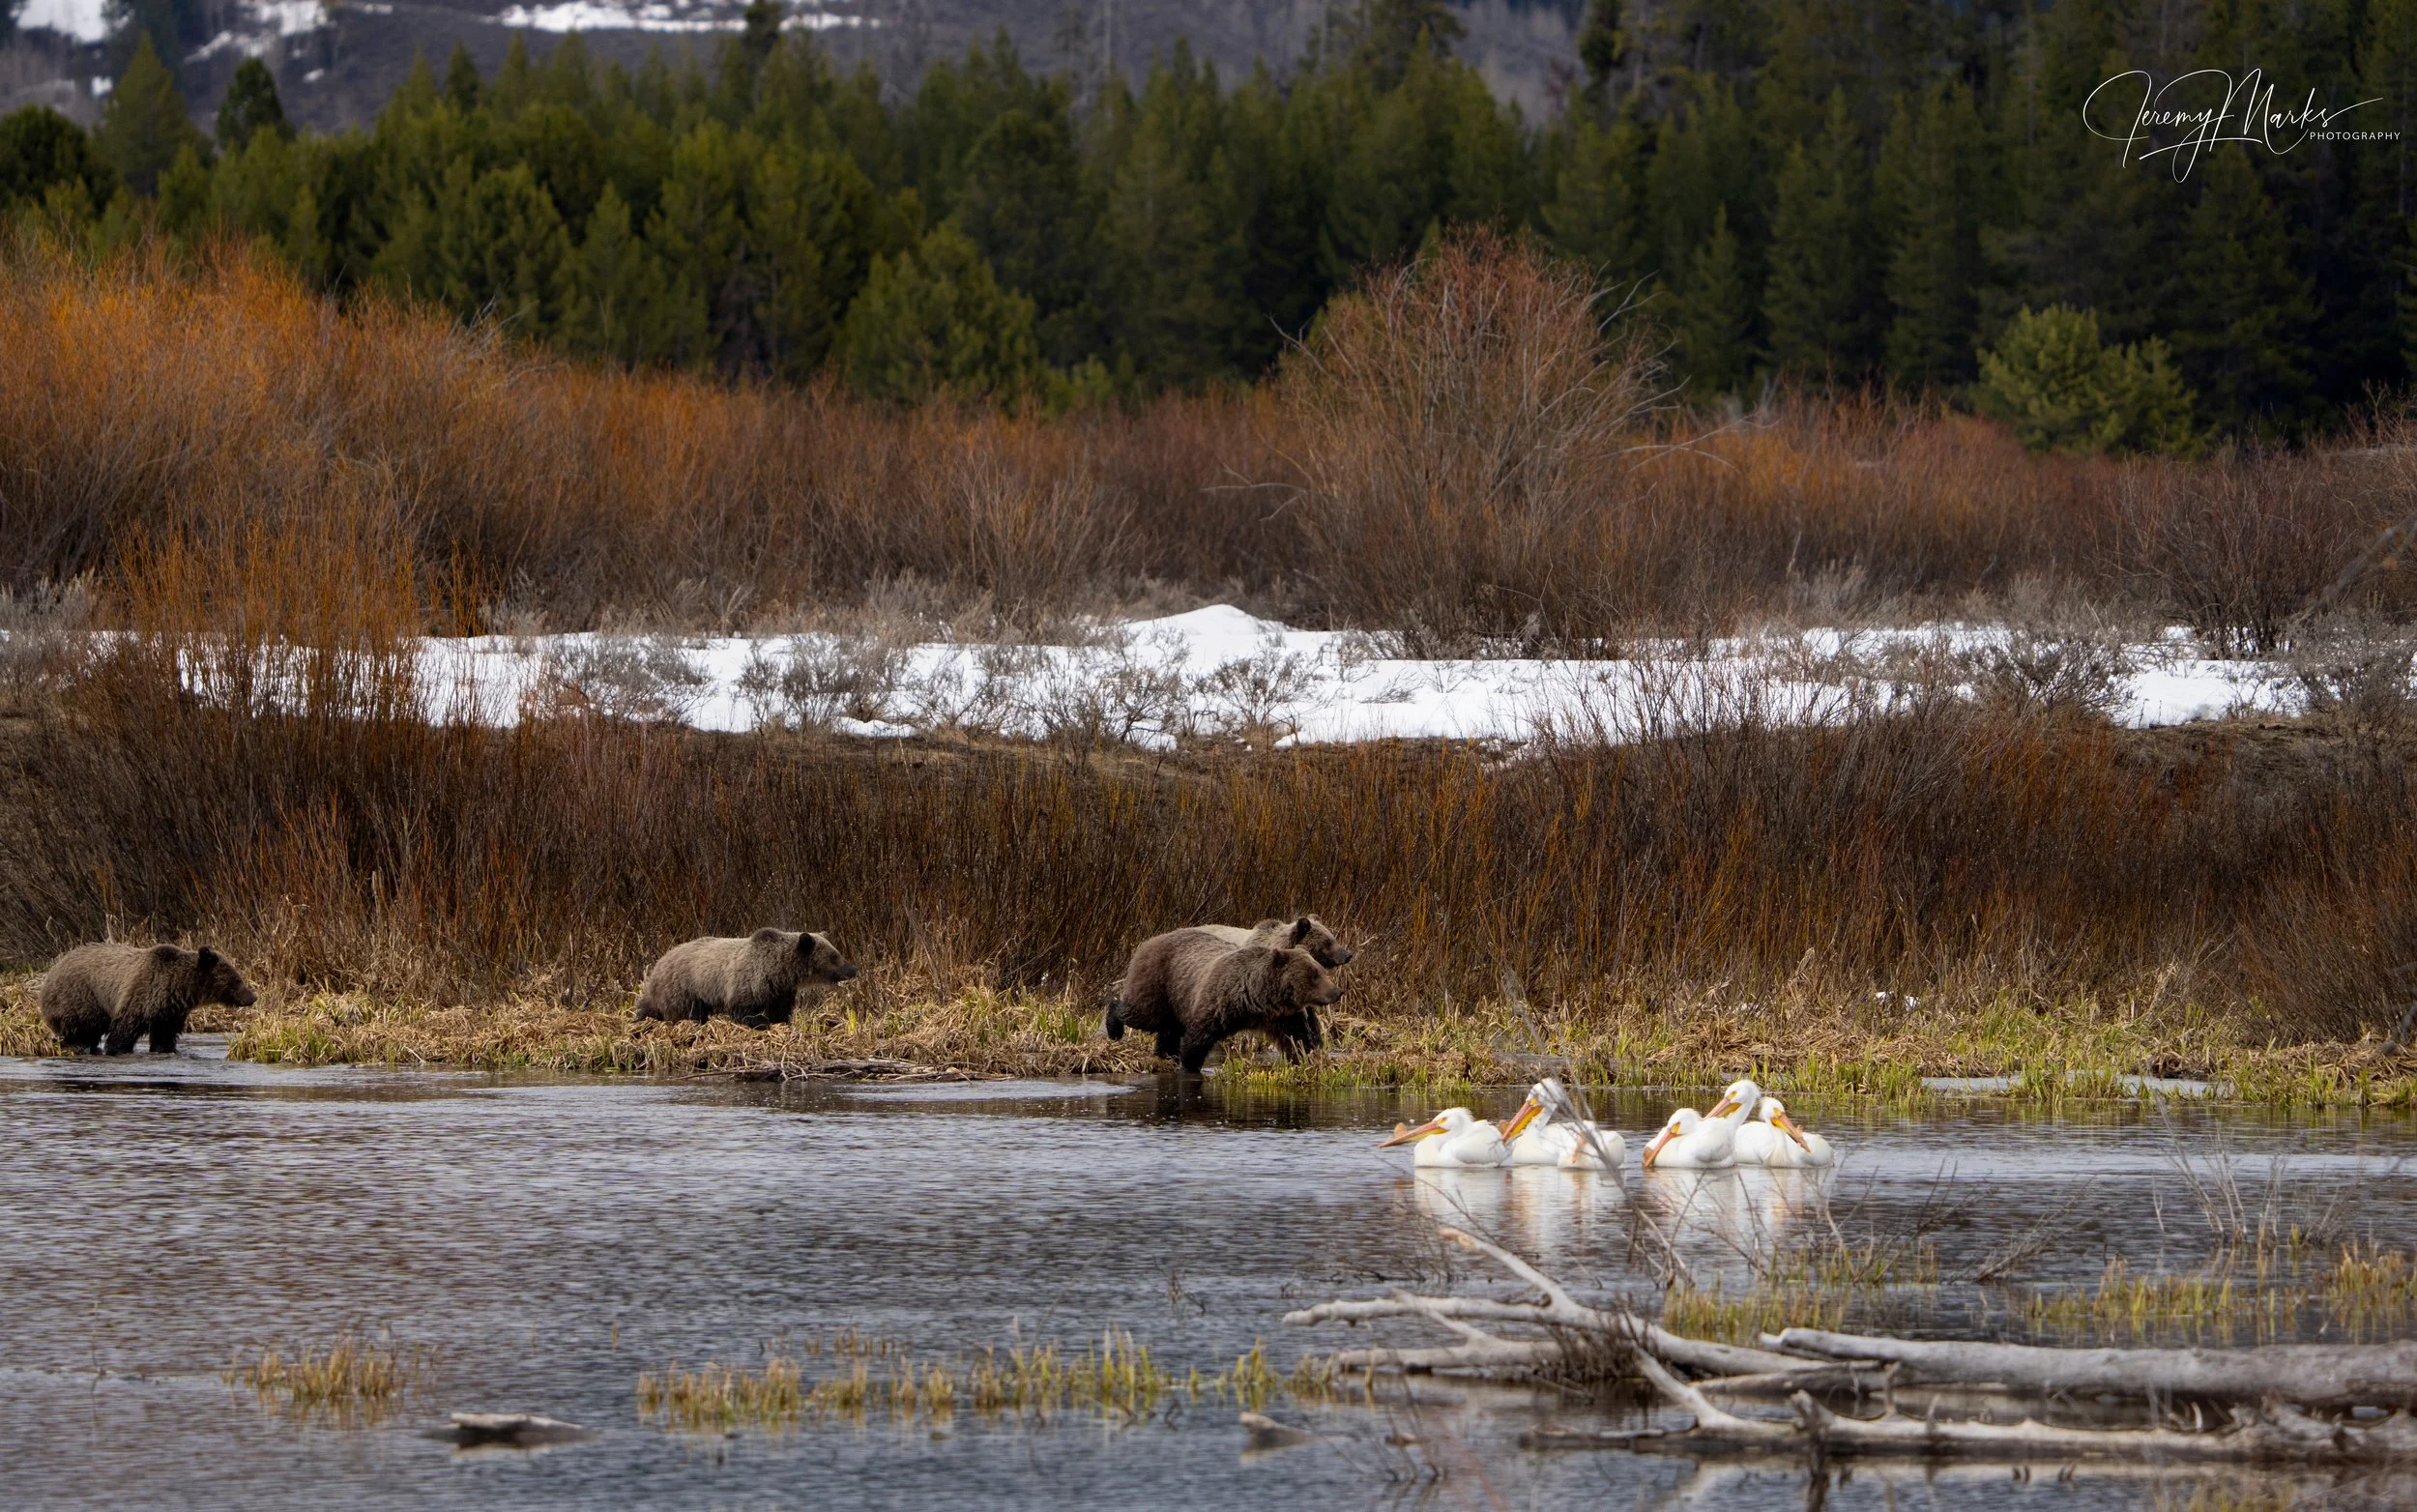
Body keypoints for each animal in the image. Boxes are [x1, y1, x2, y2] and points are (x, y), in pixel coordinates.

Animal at [39, 942, 259, 1055]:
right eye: (237, 979)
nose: (253, 997)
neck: (178, 988)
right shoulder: (141, 995)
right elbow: (124, 1031)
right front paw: (116, 1049)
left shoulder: (169, 1012)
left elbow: (164, 1037)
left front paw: (165, 1049)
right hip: (81, 996)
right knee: (81, 1027)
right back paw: (77, 1045)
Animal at [632, 928, 858, 1028]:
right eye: (834, 956)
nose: (853, 969)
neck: (779, 971)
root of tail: (660, 961)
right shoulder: (747, 982)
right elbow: (743, 1010)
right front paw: (761, 1022)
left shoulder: (781, 990)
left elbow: (780, 1010)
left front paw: (781, 1022)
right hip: (684, 988)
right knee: (686, 1012)